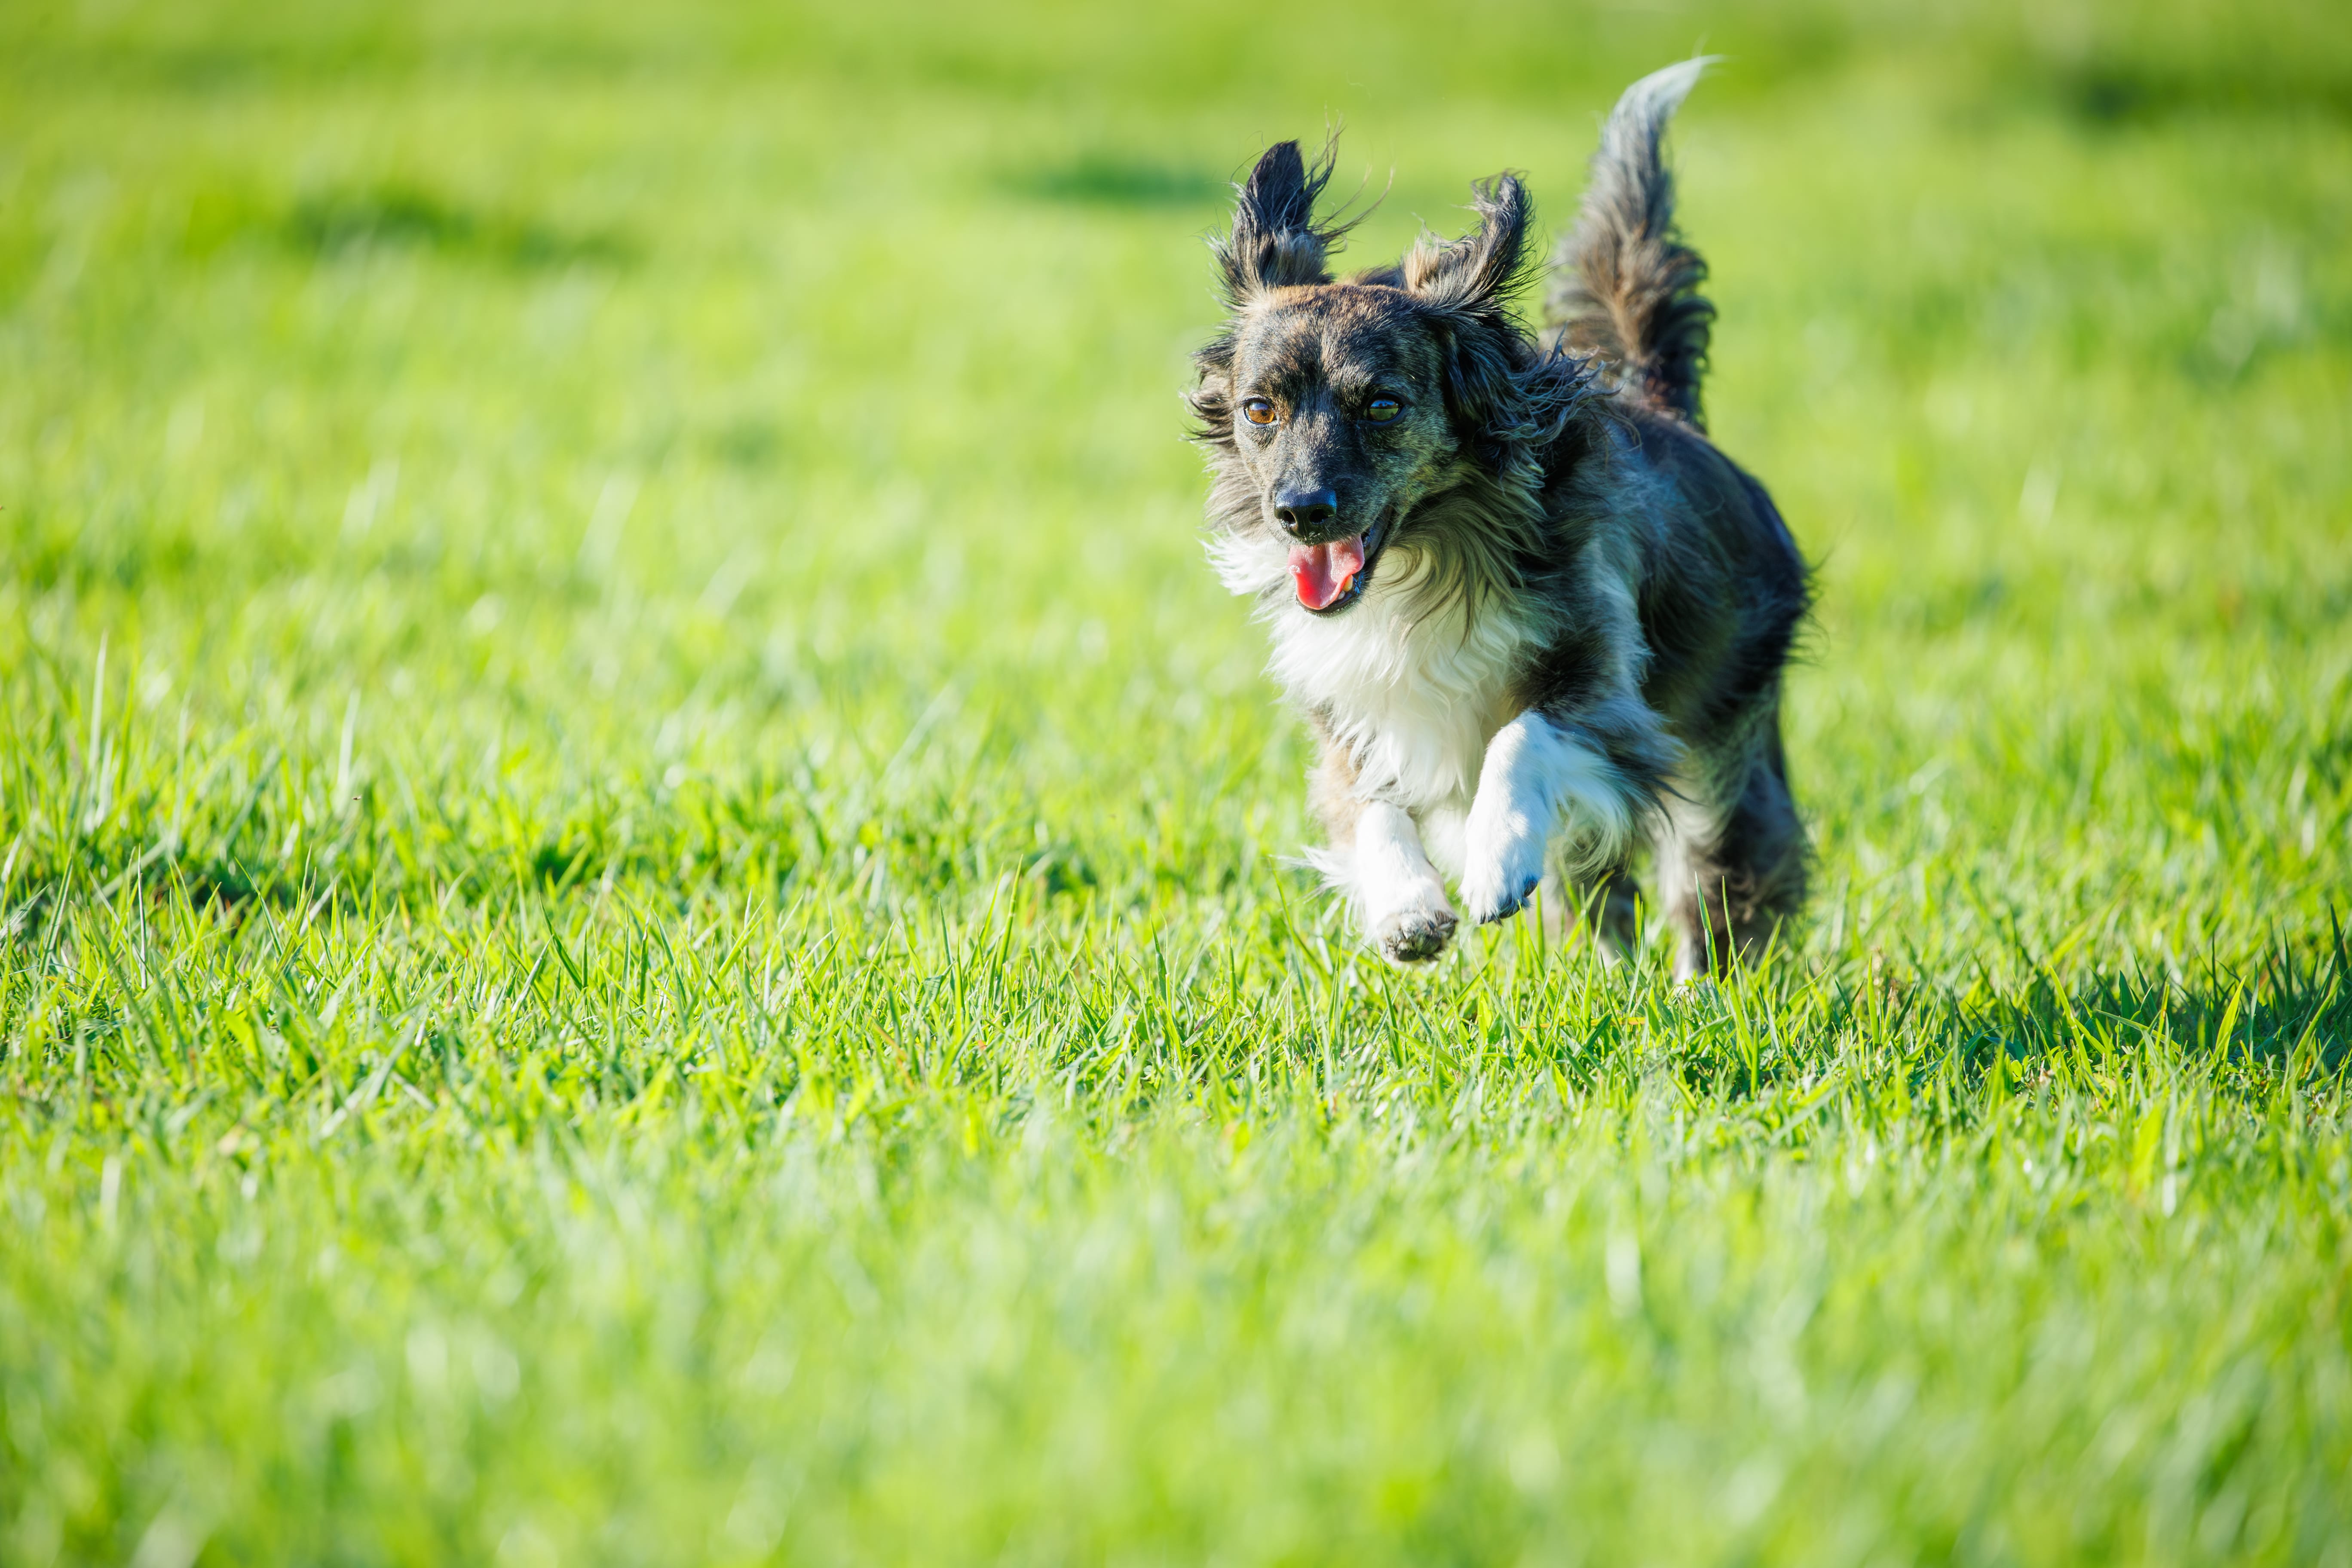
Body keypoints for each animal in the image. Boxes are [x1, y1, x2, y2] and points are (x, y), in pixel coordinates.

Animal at [1185, 64, 1806, 983]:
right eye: (1261, 409)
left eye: (1382, 405)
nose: (1299, 511)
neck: (1423, 567)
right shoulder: (1348, 712)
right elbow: (1368, 804)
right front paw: (1407, 905)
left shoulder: (1605, 691)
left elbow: (1522, 736)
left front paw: (1493, 858)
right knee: (1595, 896)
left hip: (1723, 754)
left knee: (1714, 887)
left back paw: (1699, 993)